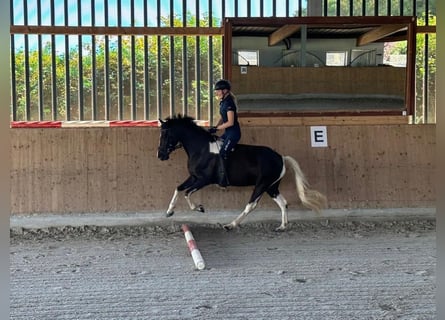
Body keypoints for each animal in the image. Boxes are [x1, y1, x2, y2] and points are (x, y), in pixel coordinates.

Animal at [156, 114, 326, 231]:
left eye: (165, 134)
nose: (160, 155)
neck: (201, 148)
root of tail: (281, 157)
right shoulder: (194, 177)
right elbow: (178, 188)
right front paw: (169, 212)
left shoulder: (203, 180)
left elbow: (187, 193)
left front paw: (199, 208)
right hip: (271, 187)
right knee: (283, 203)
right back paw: (282, 226)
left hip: (261, 185)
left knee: (251, 205)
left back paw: (230, 225)